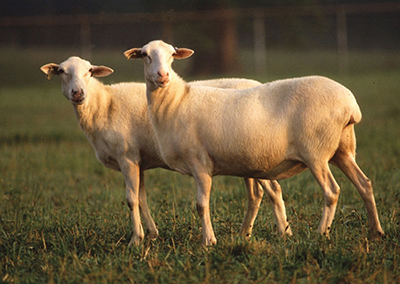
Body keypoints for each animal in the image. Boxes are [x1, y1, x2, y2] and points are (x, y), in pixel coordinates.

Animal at [39, 56, 290, 246]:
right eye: (61, 72)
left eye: (90, 72)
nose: (78, 93)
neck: (104, 105)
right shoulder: (139, 161)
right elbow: (141, 198)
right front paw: (151, 233)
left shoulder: (127, 157)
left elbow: (131, 199)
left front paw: (136, 240)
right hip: (247, 160)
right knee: (256, 194)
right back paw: (244, 234)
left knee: (273, 190)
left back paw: (283, 233)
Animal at [124, 40, 384, 246]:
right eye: (145, 55)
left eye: (172, 55)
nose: (163, 76)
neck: (176, 102)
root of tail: (351, 105)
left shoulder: (200, 163)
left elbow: (201, 205)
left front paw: (208, 241)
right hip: (343, 150)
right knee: (365, 184)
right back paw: (376, 232)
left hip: (316, 153)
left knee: (332, 191)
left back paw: (322, 233)